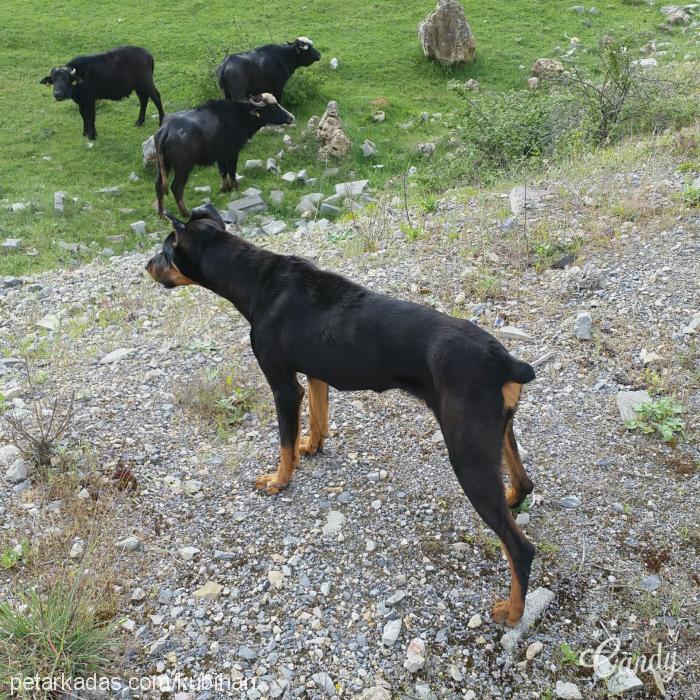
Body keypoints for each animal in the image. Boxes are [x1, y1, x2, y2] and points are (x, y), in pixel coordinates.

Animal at [146, 205, 536, 628]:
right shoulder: (316, 373)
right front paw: (312, 447)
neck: (256, 279)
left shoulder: (283, 385)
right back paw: (512, 497)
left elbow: (284, 444)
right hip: (496, 432)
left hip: (466, 454)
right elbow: (318, 419)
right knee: (523, 484)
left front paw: (279, 480)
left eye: (165, 251)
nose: (146, 266)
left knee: (520, 548)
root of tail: (504, 362)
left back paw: (513, 611)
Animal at [154, 93, 294, 216]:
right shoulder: (232, 152)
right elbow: (231, 170)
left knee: (158, 186)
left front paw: (224, 188)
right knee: (176, 188)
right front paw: (235, 186)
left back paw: (161, 213)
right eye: (273, 108)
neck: (239, 116)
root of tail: (167, 129)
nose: (291, 117)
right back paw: (185, 213)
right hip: (183, 167)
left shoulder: (220, 155)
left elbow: (222, 171)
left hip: (164, 165)